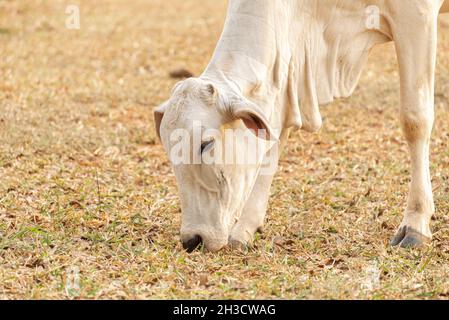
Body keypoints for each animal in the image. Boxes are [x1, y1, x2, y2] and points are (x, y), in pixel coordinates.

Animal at [155, 1, 448, 254]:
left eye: (205, 144)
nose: (193, 239)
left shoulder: (417, 15)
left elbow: (415, 120)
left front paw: (416, 223)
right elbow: (274, 143)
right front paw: (245, 229)